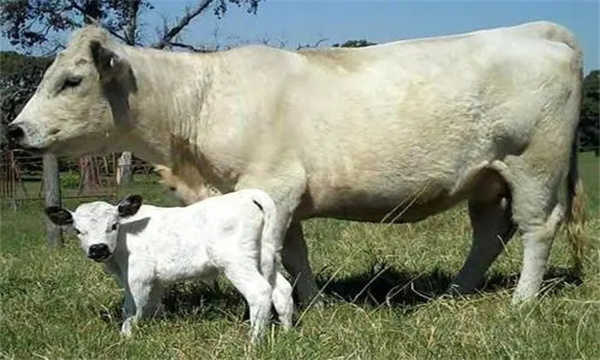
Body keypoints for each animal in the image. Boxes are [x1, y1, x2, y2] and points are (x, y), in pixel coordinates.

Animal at [11, 21, 584, 304]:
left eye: (72, 80)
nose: (15, 129)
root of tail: (539, 30)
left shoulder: (274, 184)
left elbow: (274, 254)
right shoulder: (277, 194)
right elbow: (295, 253)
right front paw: (312, 303)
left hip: (533, 165)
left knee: (537, 228)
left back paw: (522, 302)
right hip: (486, 178)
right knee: (489, 235)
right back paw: (455, 293)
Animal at [44, 190, 292, 342]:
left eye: (113, 225)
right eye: (78, 230)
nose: (98, 248)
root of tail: (247, 194)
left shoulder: (138, 274)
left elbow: (131, 307)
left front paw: (125, 337)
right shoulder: (155, 279)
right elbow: (152, 306)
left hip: (236, 260)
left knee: (259, 292)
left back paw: (254, 341)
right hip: (266, 257)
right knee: (282, 289)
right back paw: (287, 331)